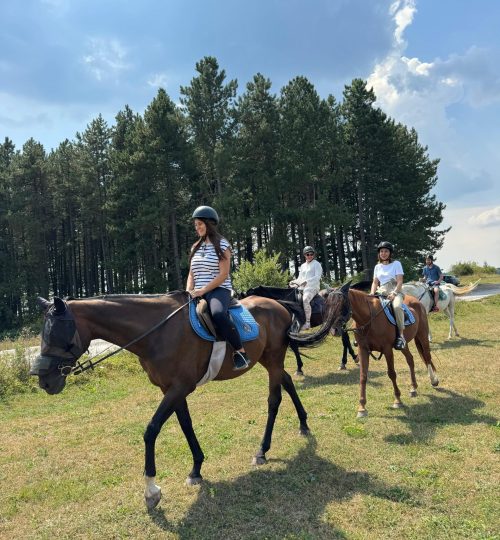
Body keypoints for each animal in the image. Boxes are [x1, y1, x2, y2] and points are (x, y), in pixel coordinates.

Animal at [30, 288, 344, 508]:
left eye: (56, 332)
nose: (43, 379)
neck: (157, 332)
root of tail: (279, 305)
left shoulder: (179, 387)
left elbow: (151, 430)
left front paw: (151, 491)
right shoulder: (171, 389)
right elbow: (185, 425)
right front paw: (196, 469)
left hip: (274, 357)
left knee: (274, 399)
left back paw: (262, 450)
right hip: (270, 360)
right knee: (288, 382)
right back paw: (303, 424)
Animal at [292, 282, 440, 418]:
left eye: (342, 305)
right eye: (327, 304)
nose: (334, 330)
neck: (369, 318)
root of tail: (416, 301)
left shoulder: (387, 349)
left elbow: (392, 373)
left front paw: (397, 400)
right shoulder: (363, 350)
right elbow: (363, 376)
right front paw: (362, 408)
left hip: (422, 336)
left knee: (427, 357)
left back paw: (434, 380)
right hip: (403, 345)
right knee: (410, 359)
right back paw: (413, 388)